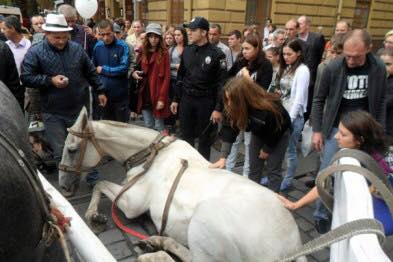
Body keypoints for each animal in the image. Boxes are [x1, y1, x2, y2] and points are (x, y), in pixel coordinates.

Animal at [58, 107, 304, 260]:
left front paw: (93, 216)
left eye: (72, 149)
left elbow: (99, 184)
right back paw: (155, 241)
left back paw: (154, 253)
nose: (63, 187)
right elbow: (100, 185)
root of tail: (290, 248)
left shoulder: (131, 205)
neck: (151, 155)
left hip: (204, 224)